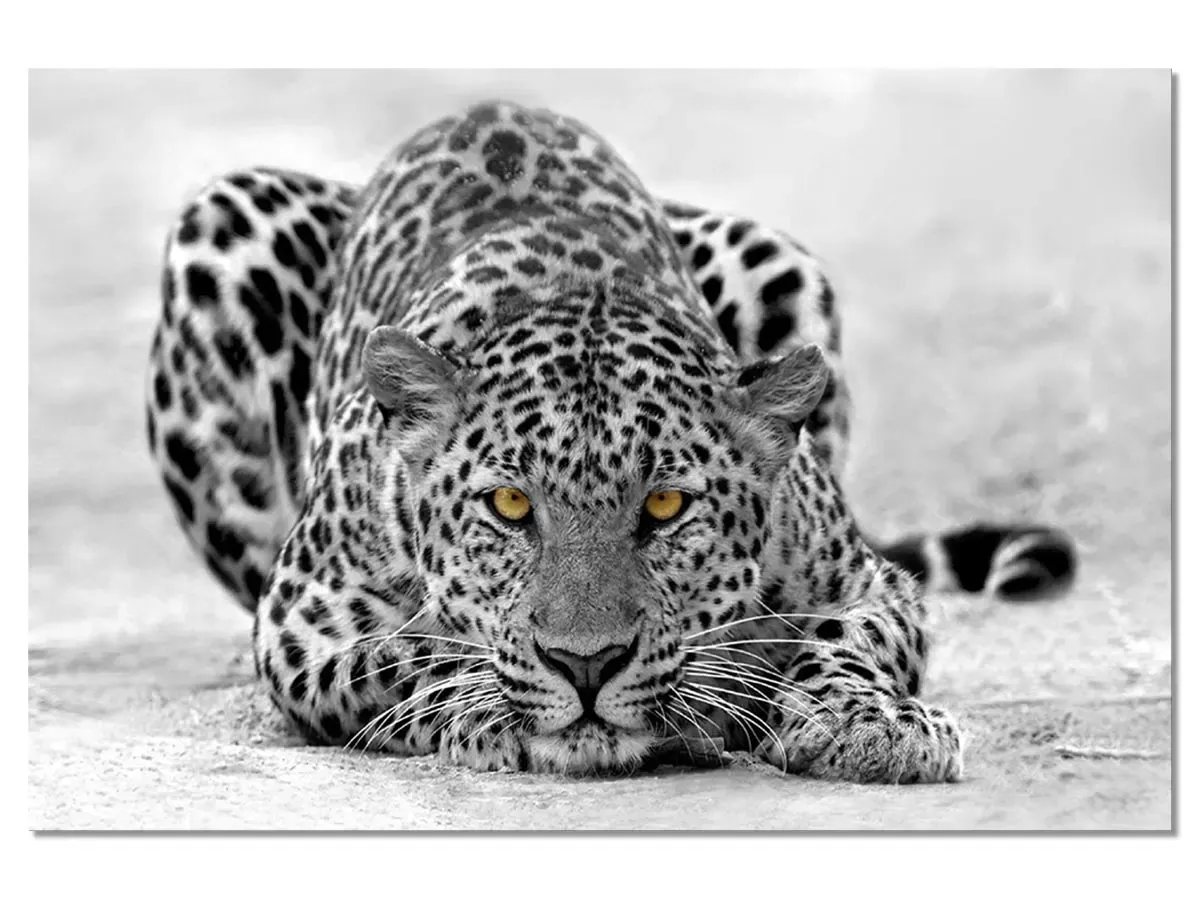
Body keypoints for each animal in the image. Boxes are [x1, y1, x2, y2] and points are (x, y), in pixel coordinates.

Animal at [145, 100, 1076, 781]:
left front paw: (870, 721)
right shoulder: (303, 621)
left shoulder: (868, 584)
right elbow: (408, 654)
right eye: (509, 505)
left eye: (664, 507)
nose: (585, 666)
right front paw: (492, 705)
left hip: (775, 255)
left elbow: (848, 643)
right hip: (223, 225)